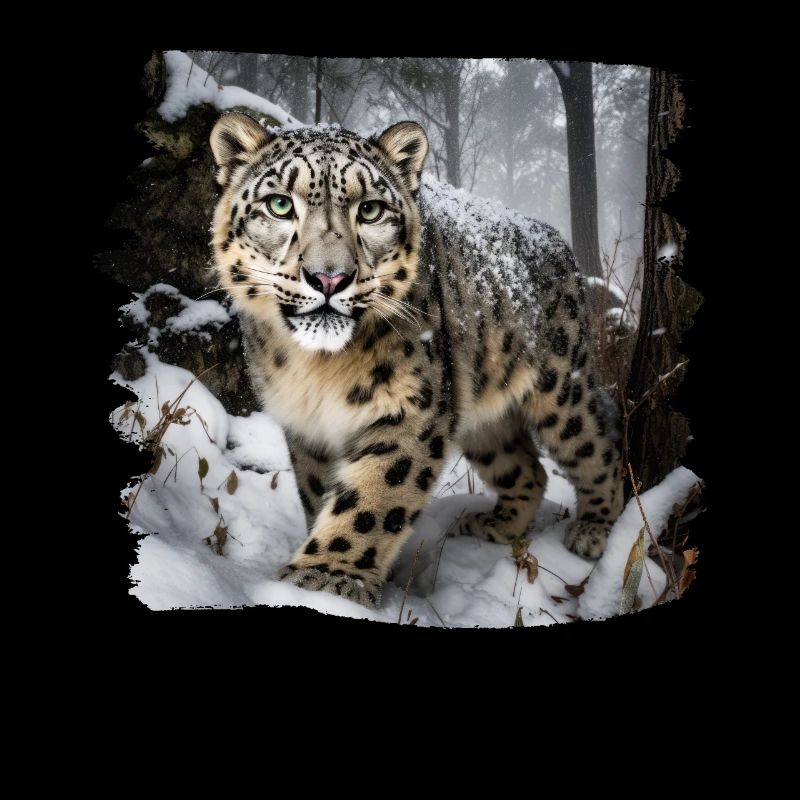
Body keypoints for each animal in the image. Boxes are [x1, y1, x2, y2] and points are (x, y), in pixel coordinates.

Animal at [209, 111, 624, 609]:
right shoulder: (306, 426)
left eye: (370, 210)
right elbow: (320, 493)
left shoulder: (413, 406)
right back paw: (495, 525)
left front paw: (326, 579)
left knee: (597, 445)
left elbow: (373, 497)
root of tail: (561, 246)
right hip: (480, 415)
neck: (317, 372)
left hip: (560, 388)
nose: (330, 277)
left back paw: (593, 530)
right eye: (278, 204)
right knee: (529, 469)